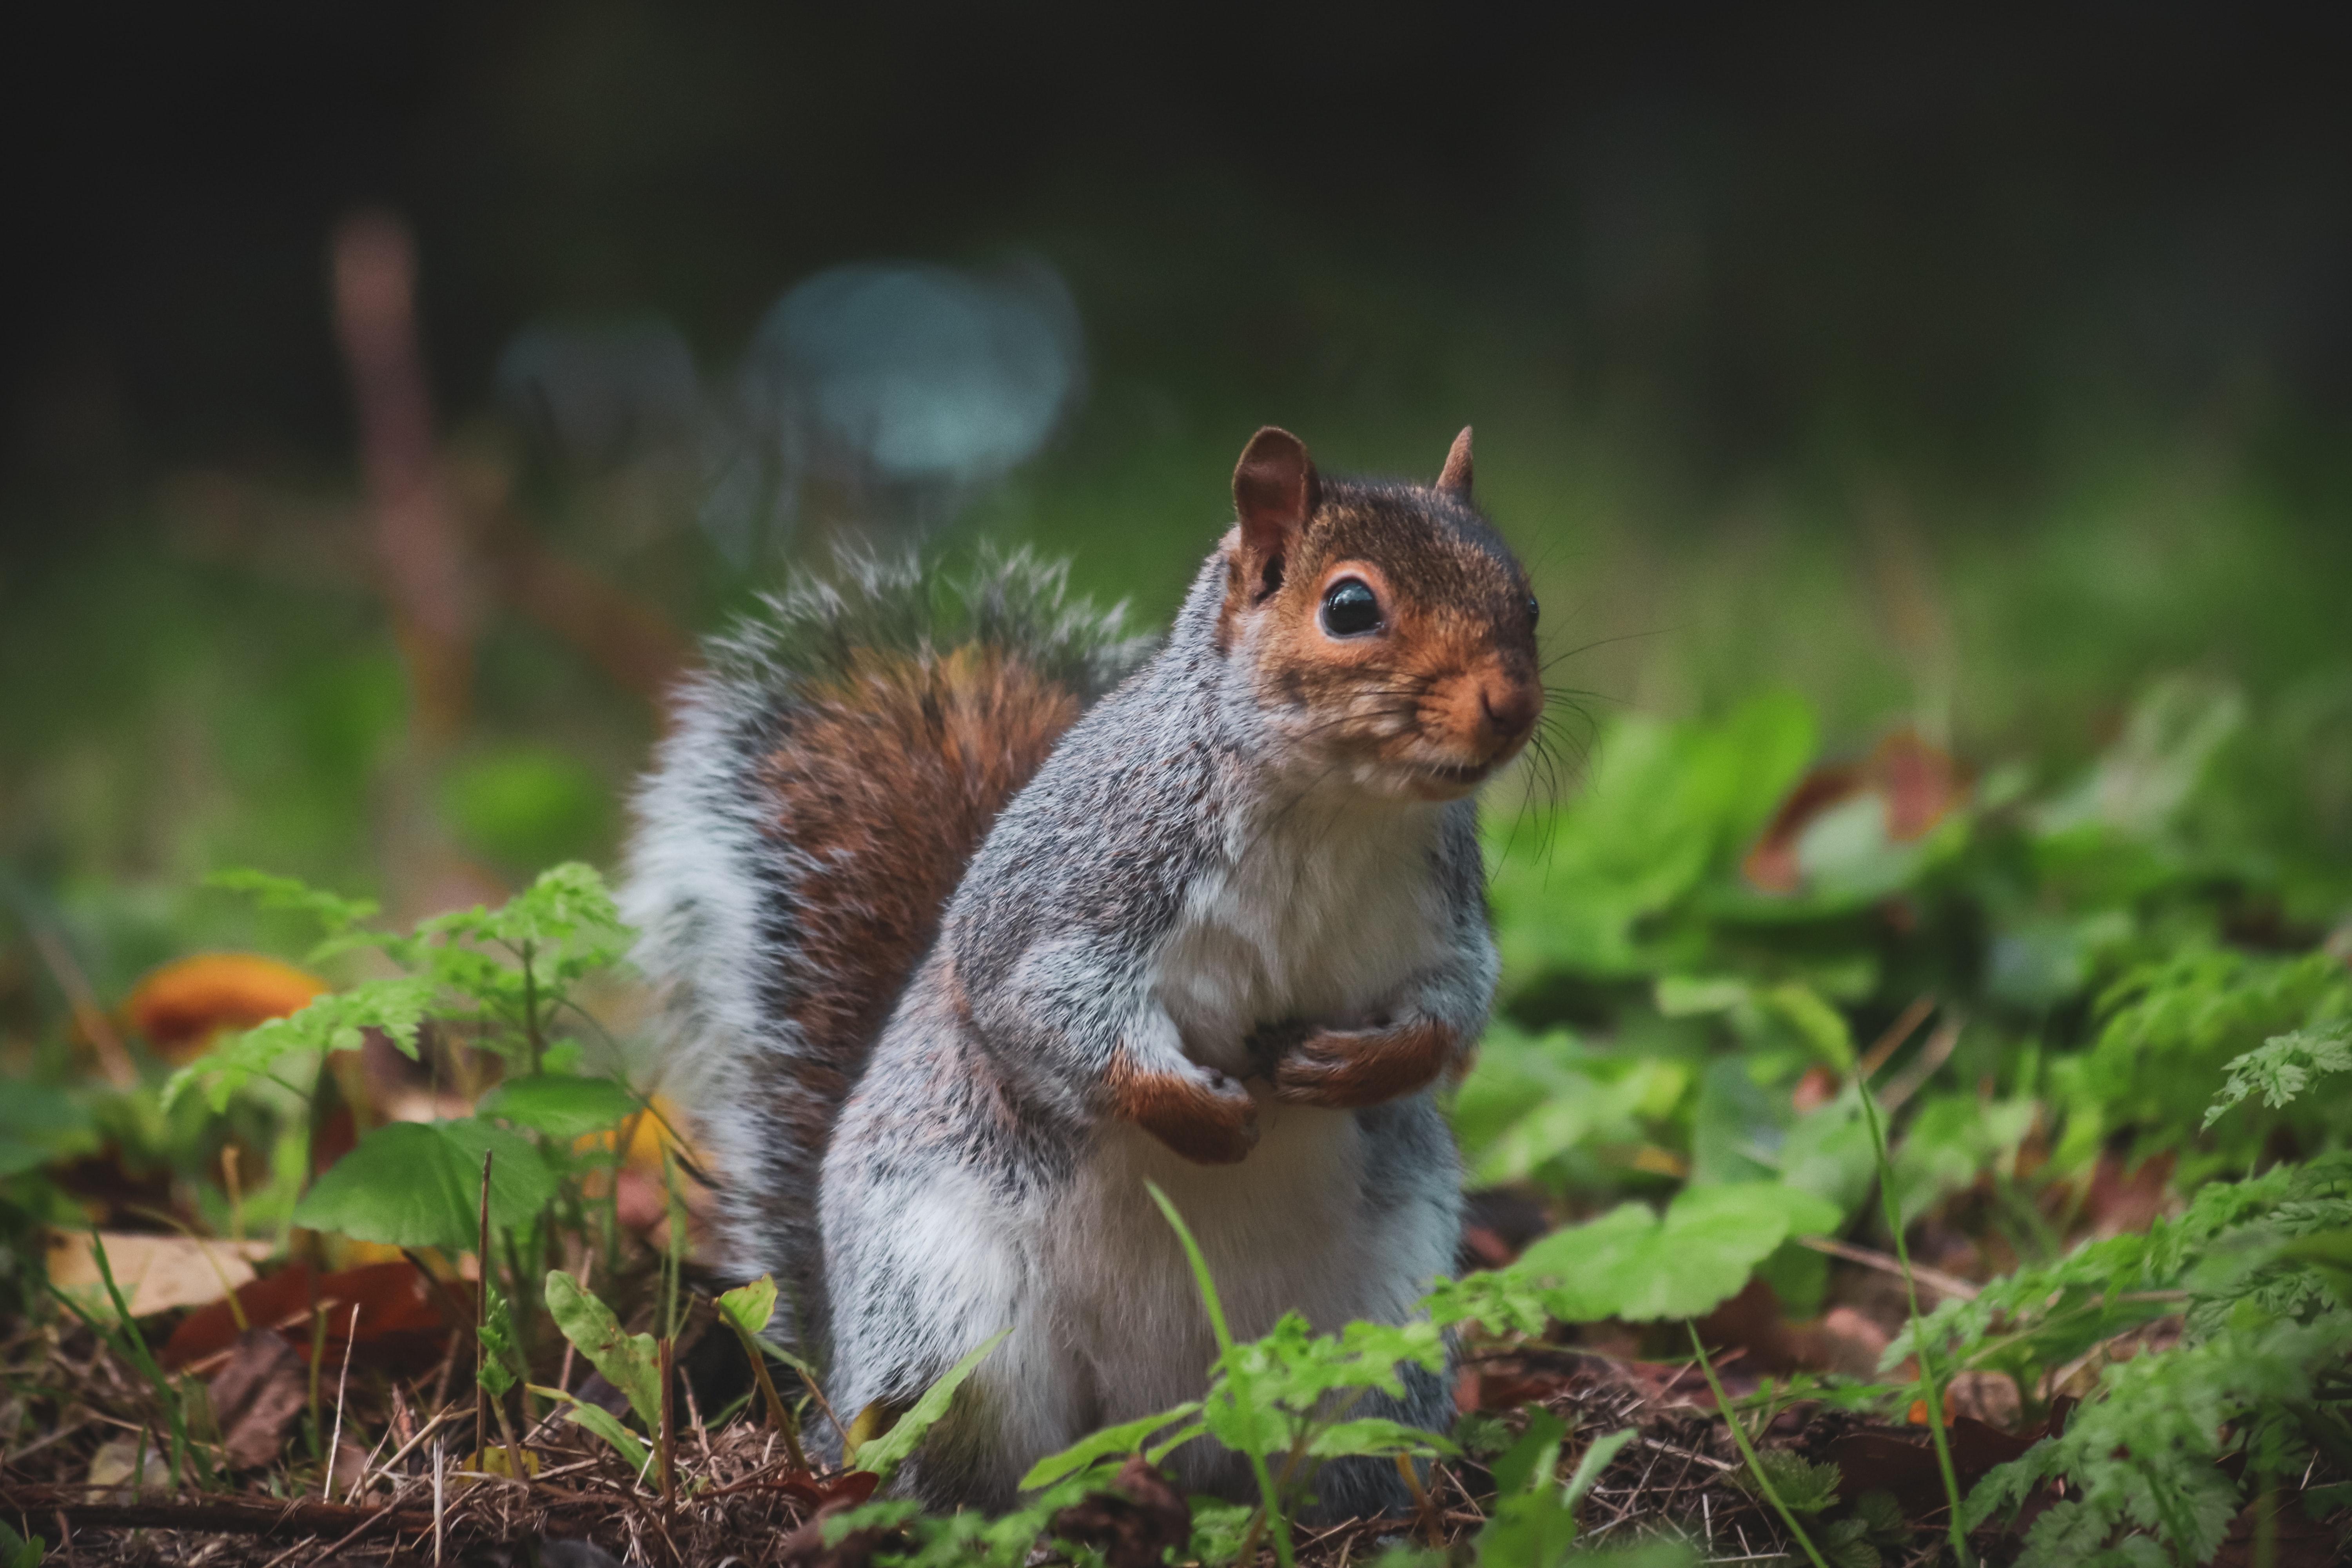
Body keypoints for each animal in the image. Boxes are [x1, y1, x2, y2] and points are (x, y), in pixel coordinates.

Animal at [626, 423, 1543, 1514]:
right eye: (1350, 607)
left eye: (1526, 595)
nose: (1511, 706)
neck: (1338, 804)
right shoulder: (1073, 891)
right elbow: (1043, 1012)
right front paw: (1196, 1113)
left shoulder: (1448, 921)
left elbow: (1455, 1007)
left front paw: (1360, 1066)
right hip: (948, 1331)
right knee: (976, 1470)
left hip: (1378, 1341)